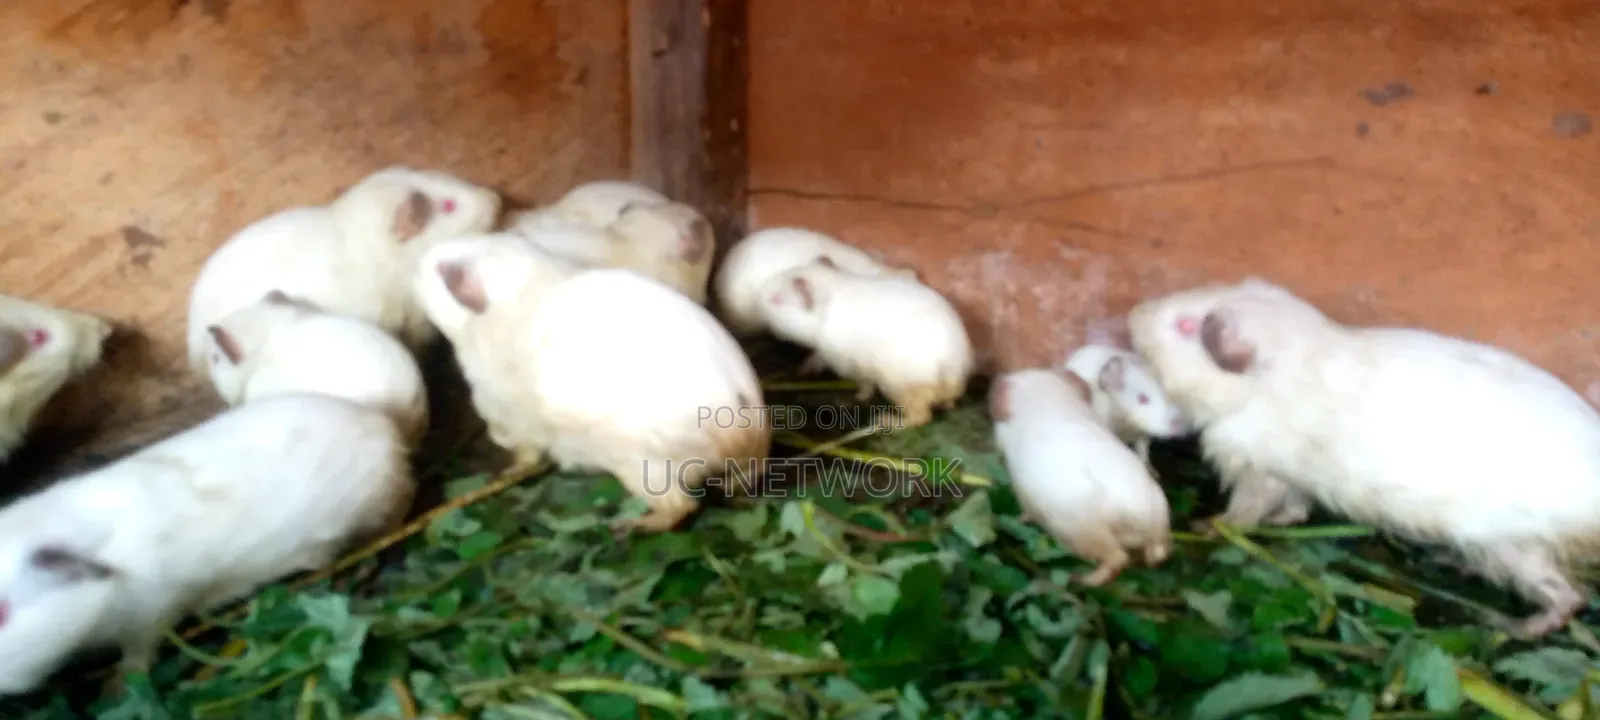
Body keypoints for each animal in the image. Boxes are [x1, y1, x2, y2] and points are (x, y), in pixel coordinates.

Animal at [413, 234, 769, 535]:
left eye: (443, 271)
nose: (421, 261)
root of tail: (745, 429)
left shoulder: (513, 418)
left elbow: (524, 453)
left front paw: (505, 468)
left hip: (643, 469)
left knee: (680, 507)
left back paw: (627, 527)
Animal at [756, 257, 971, 429]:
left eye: (777, 299)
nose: (758, 296)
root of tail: (950, 364)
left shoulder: (848, 363)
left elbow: (865, 385)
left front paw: (859, 396)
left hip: (901, 389)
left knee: (921, 417)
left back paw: (885, 420)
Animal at [990, 368, 1172, 586]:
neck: (1048, 400)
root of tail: (1139, 511)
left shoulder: (1021, 486)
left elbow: (1025, 511)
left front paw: (1018, 518)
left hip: (1081, 532)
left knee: (1117, 559)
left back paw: (1081, 579)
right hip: (1160, 514)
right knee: (1157, 556)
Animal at [1129, 276, 1600, 638]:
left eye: (1186, 325)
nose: (1134, 315)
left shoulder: (1261, 471)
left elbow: (1245, 512)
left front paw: (1207, 527)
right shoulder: (1294, 481)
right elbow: (1295, 511)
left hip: (1517, 550)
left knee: (1568, 596)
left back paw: (1511, 626)